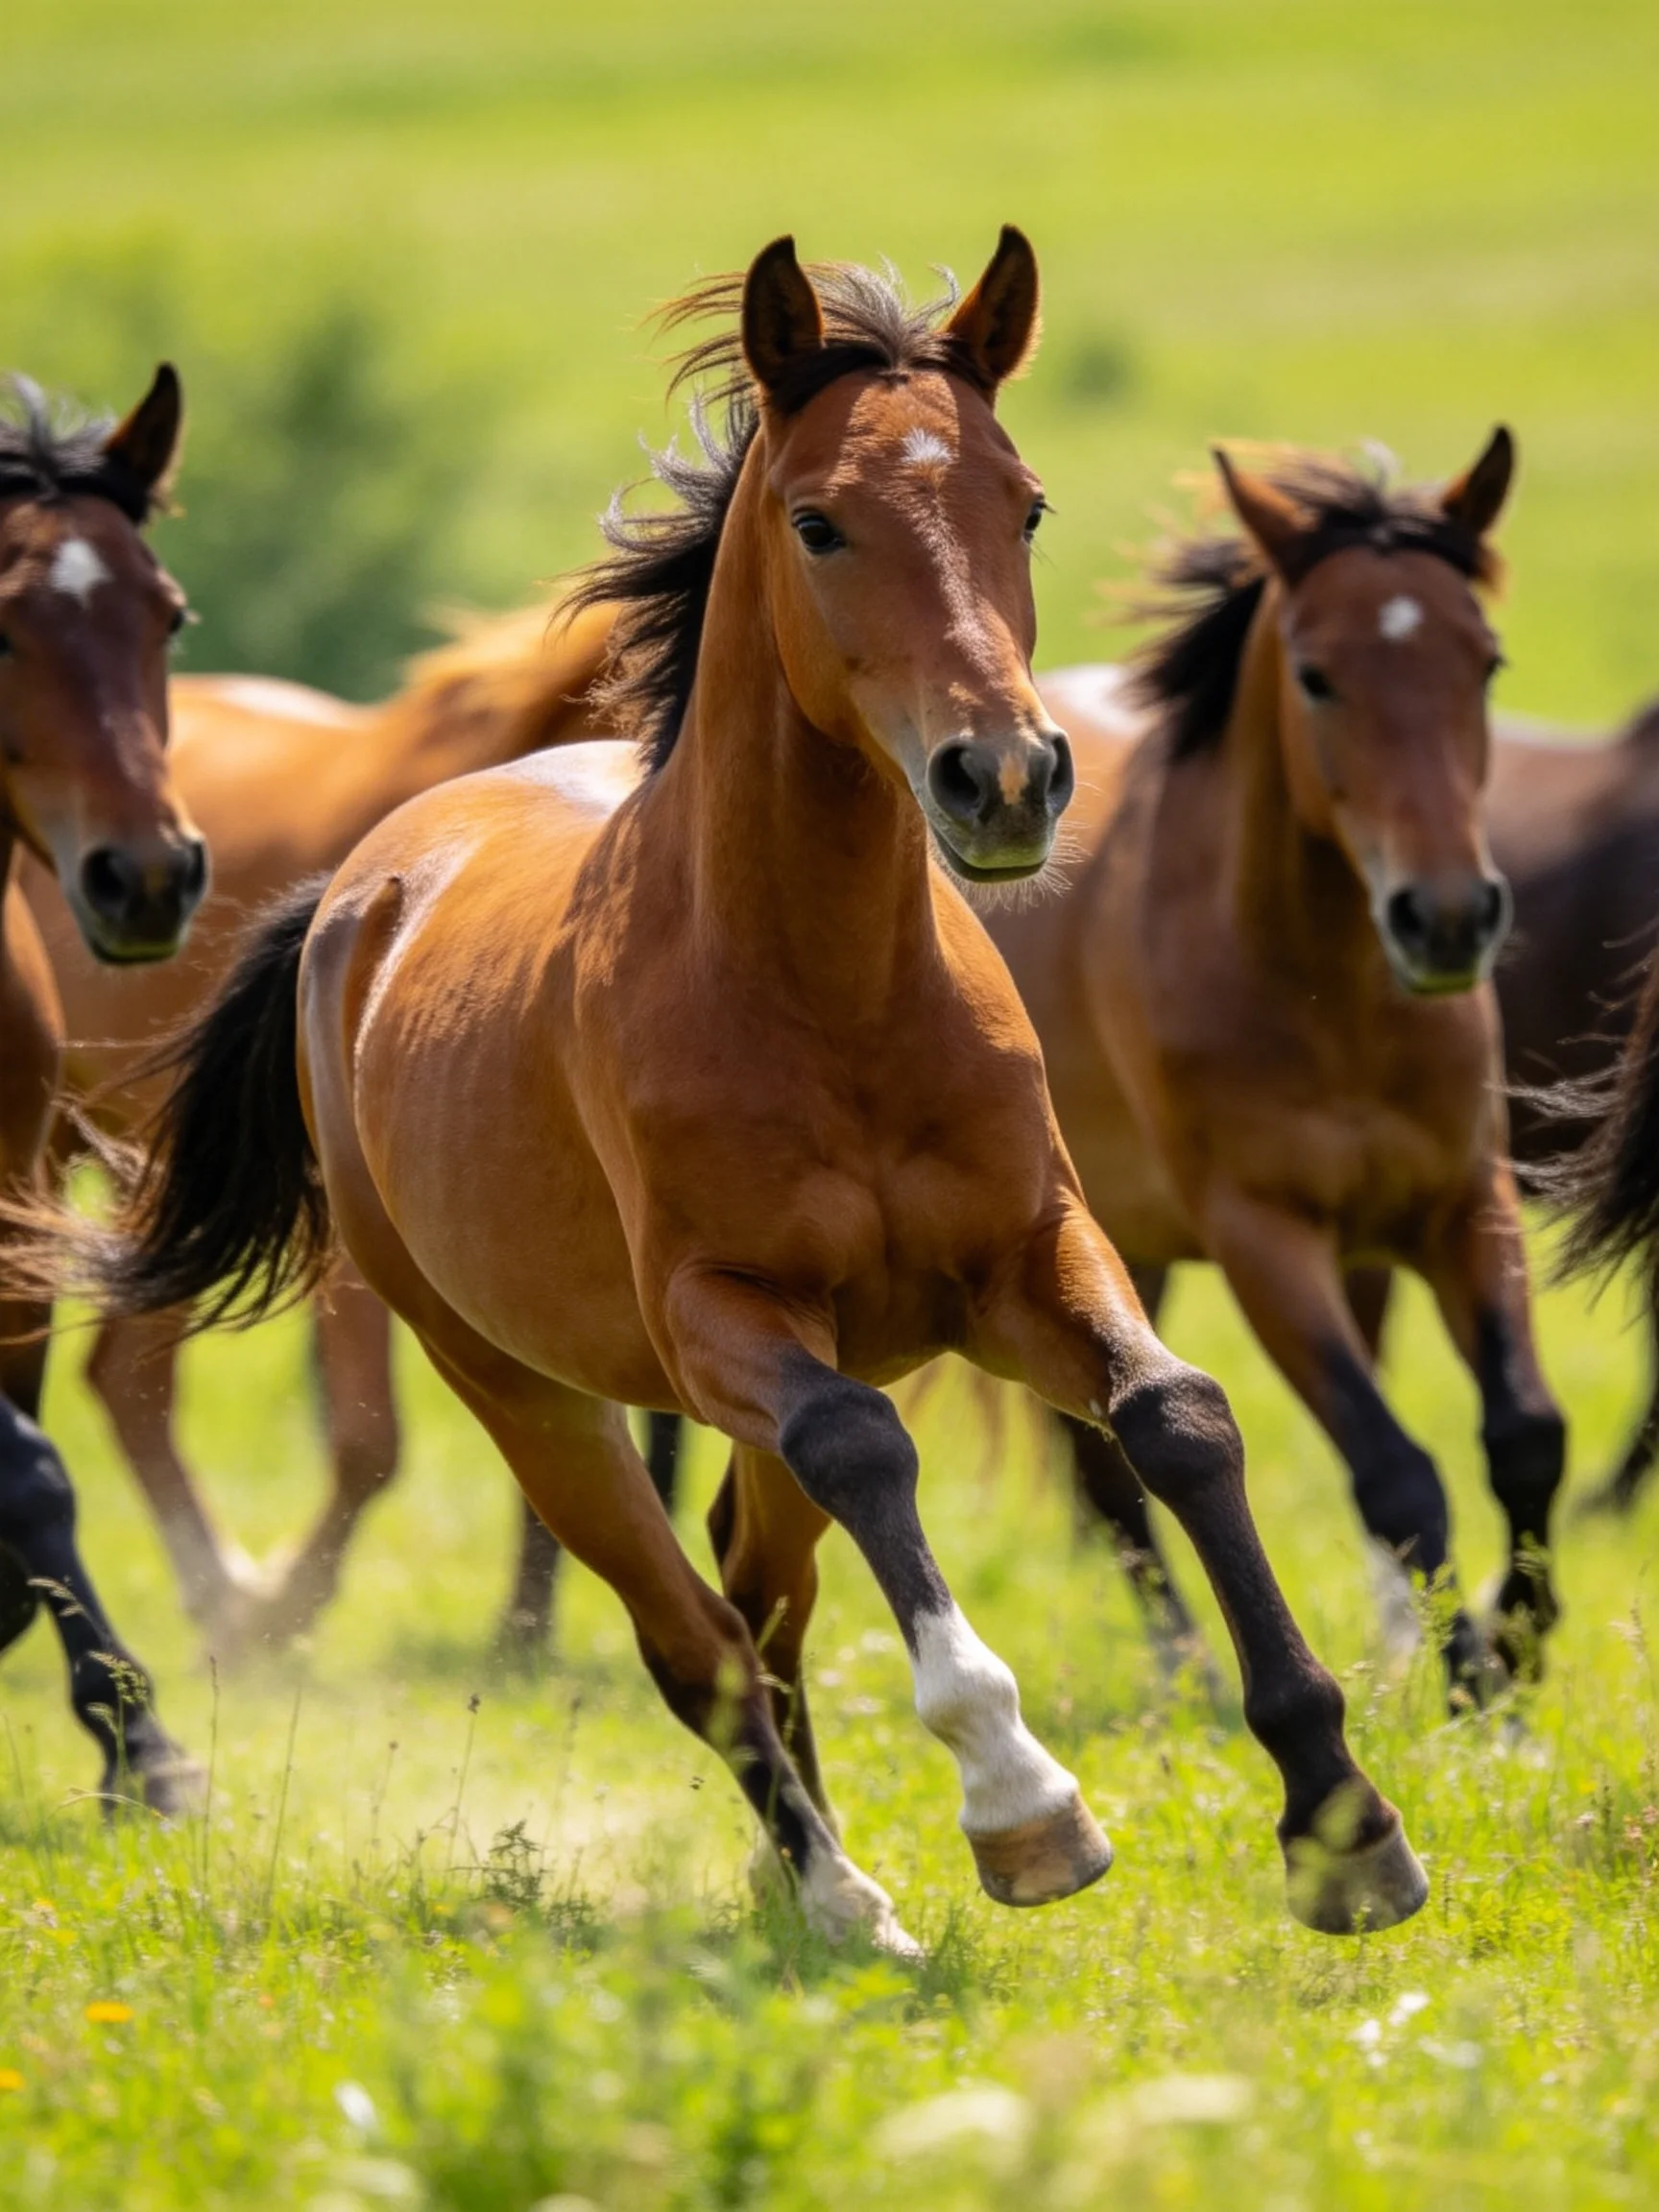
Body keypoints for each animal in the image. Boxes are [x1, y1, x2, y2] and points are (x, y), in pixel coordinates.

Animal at [972, 439, 1564, 1700]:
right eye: (1317, 676)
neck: (1324, 994)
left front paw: (1517, 1644)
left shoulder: (1463, 1201)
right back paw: (1188, 1675)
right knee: (1107, 1481)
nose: (1447, 918)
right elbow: (1396, 1471)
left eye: (1486, 663)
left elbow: (1526, 1433)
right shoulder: (1262, 1238)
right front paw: (1474, 1681)